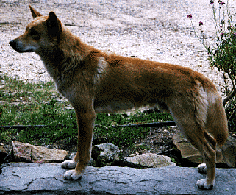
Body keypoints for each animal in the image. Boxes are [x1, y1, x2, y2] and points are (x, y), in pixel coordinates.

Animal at [9, 5, 229, 190]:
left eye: (34, 34)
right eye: (25, 29)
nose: (11, 42)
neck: (73, 62)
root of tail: (195, 75)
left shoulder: (86, 114)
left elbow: (84, 149)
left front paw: (77, 173)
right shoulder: (82, 116)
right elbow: (80, 148)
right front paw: (73, 163)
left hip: (185, 123)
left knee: (209, 149)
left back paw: (209, 182)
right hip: (191, 123)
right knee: (212, 144)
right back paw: (205, 168)